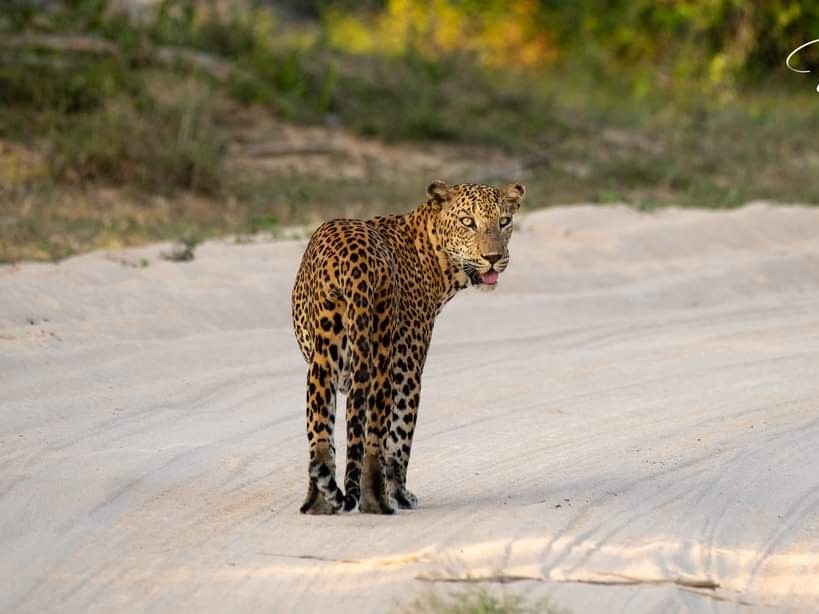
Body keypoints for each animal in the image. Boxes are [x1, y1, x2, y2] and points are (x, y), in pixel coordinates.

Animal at [294, 179, 524, 516]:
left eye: (504, 221)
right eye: (468, 222)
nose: (494, 257)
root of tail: (355, 259)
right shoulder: (409, 367)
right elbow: (400, 440)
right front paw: (401, 494)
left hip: (324, 357)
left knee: (321, 434)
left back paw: (318, 503)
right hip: (382, 361)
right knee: (376, 439)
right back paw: (380, 503)